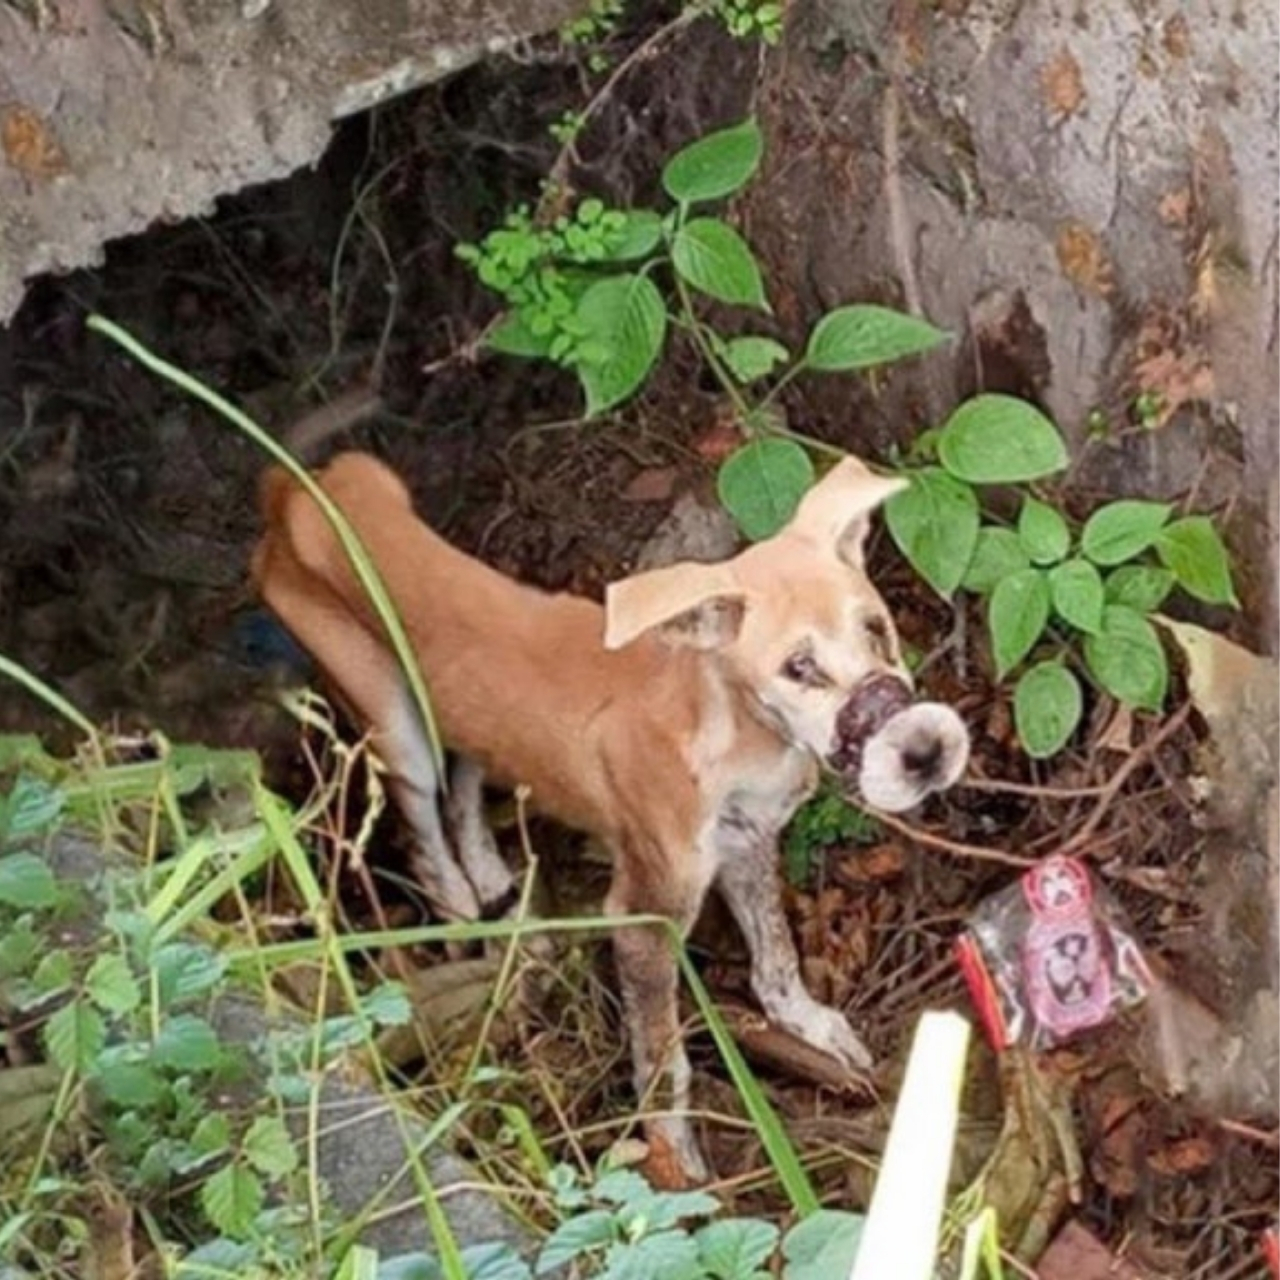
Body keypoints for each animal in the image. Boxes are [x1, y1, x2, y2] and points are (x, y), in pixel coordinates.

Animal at [251, 450, 970, 1185]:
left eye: (877, 630)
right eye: (799, 667)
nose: (926, 753)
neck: (738, 735)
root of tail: (299, 487)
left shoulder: (746, 844)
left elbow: (777, 955)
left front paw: (812, 1027)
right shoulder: (644, 914)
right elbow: (663, 1060)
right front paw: (674, 1163)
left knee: (469, 775)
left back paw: (493, 880)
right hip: (394, 725)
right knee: (422, 832)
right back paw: (461, 914)